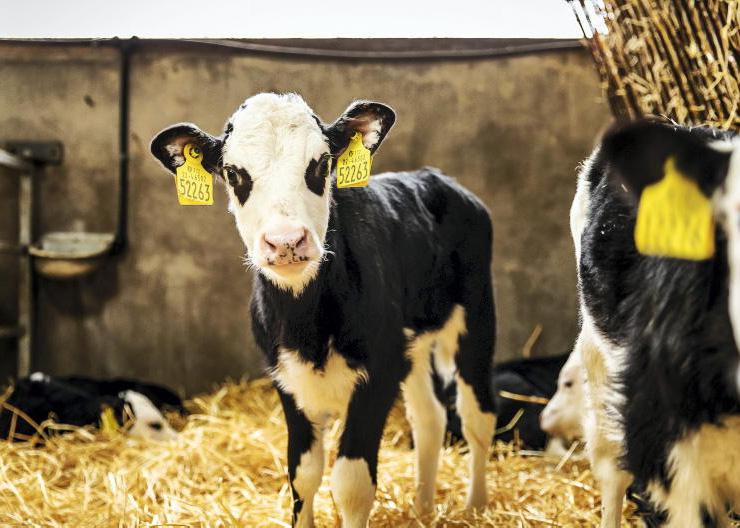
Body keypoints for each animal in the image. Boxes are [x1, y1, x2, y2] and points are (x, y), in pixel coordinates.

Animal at [150, 93, 497, 527]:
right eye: (233, 173)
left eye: (321, 164)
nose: (285, 241)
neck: (306, 323)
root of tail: (434, 177)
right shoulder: (287, 379)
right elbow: (303, 474)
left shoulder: (378, 374)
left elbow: (351, 483)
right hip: (411, 347)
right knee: (429, 418)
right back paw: (422, 508)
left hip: (476, 316)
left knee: (476, 417)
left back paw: (476, 506)